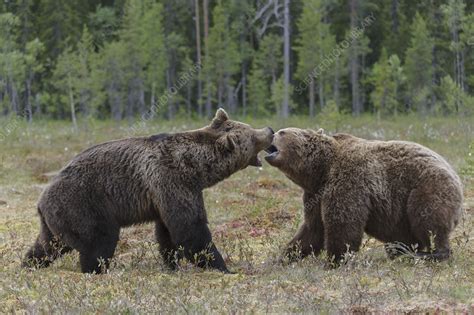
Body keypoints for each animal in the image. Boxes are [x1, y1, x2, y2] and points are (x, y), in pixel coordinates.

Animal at [22, 108, 274, 274]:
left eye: (250, 127)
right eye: (252, 135)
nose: (270, 129)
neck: (196, 168)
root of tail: (41, 200)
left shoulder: (165, 195)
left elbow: (168, 232)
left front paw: (172, 264)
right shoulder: (172, 181)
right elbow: (190, 229)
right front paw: (221, 266)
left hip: (57, 220)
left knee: (48, 245)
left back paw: (29, 264)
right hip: (82, 205)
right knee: (99, 241)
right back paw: (96, 270)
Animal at [266, 128, 462, 264]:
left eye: (282, 132)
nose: (272, 132)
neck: (321, 170)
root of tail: (456, 176)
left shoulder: (349, 179)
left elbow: (343, 222)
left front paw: (335, 260)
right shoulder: (315, 193)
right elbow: (312, 229)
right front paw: (283, 258)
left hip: (427, 187)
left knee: (428, 220)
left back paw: (429, 254)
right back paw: (401, 252)